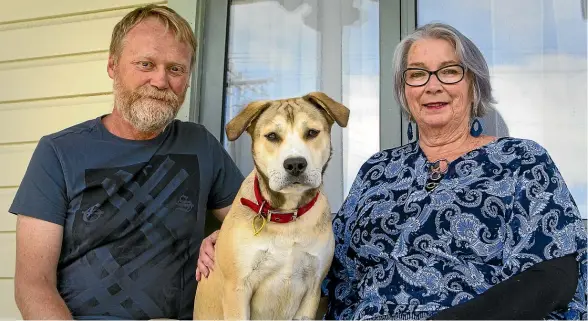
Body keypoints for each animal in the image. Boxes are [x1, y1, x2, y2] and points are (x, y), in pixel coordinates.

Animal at [193, 91, 350, 318]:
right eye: (272, 136)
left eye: (312, 132)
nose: (295, 164)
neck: (287, 214)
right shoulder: (237, 289)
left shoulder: (312, 291)